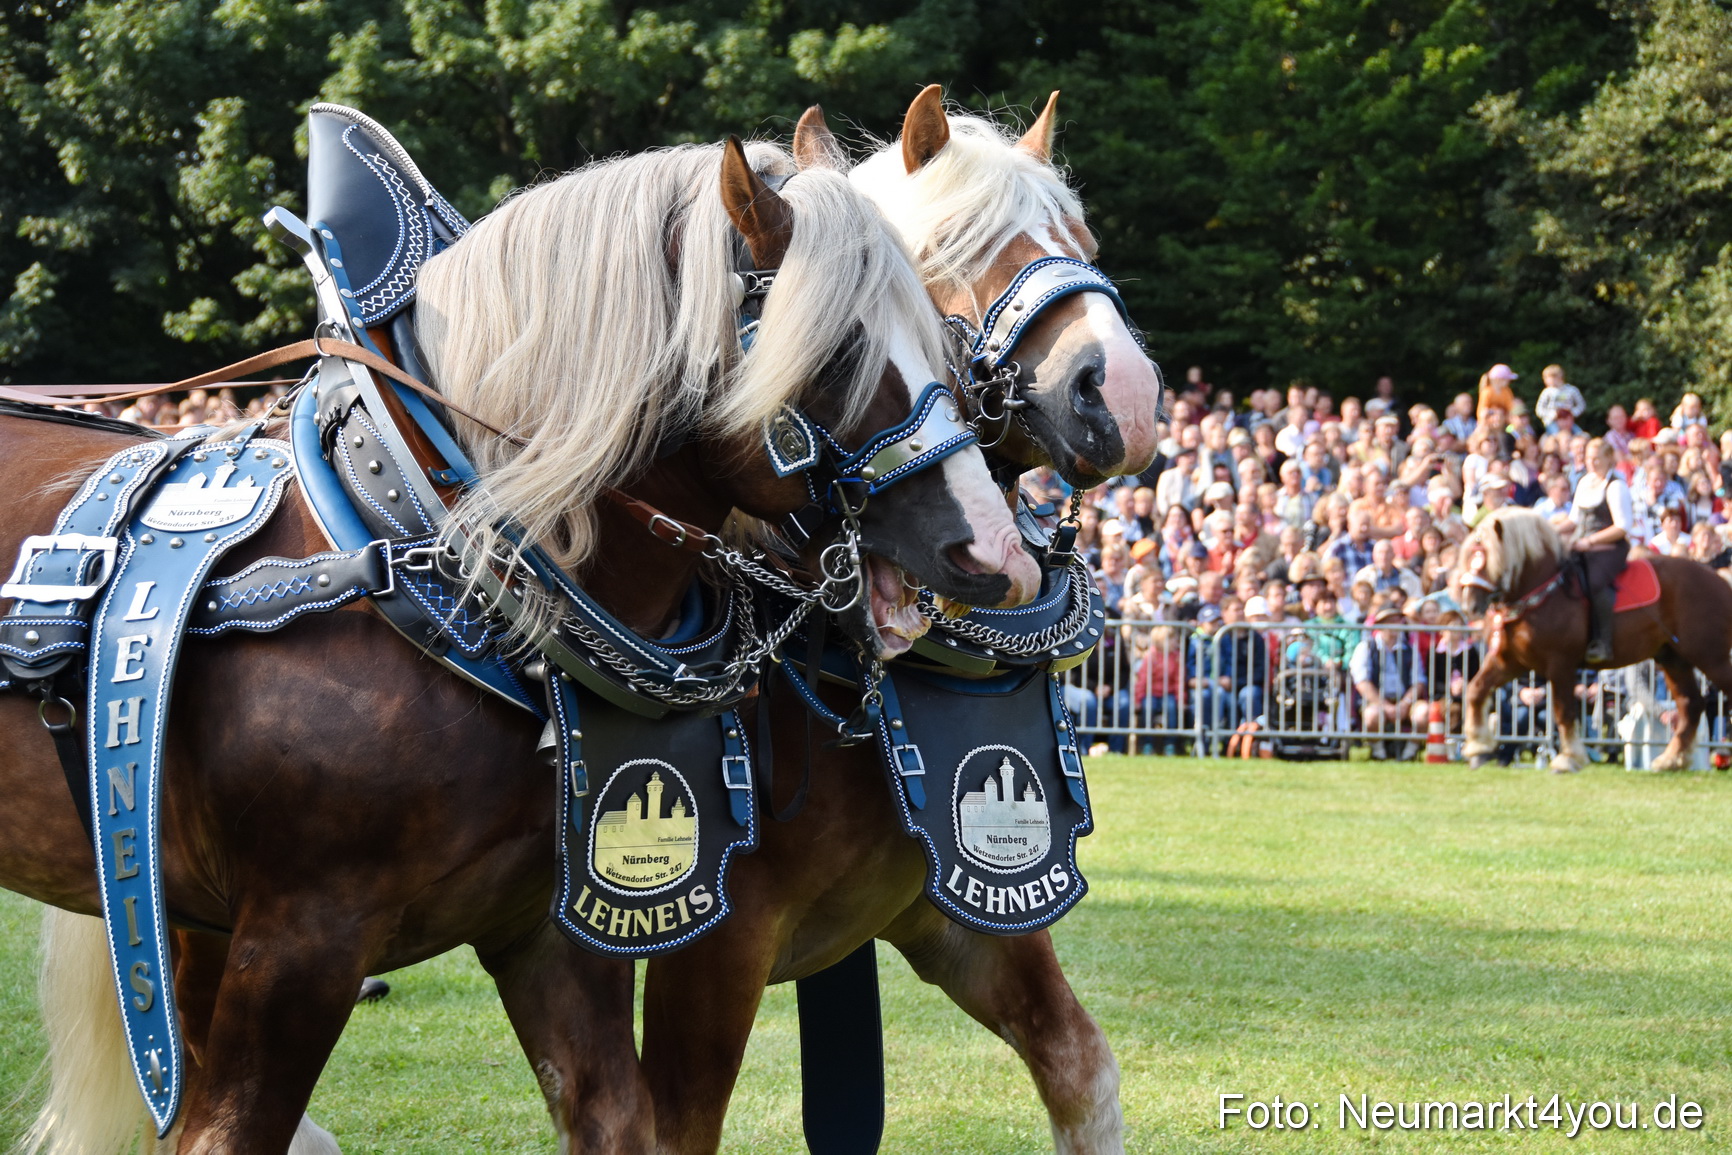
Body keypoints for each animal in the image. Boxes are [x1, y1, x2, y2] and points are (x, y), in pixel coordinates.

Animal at [14, 134, 1039, 1155]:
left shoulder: (553, 929)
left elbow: (616, 1115)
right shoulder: (297, 940)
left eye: (939, 336)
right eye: (839, 350)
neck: (427, 548)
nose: (996, 551)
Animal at [632, 93, 1154, 1155]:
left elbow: (1081, 1069)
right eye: (957, 247)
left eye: (1083, 241)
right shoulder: (707, 952)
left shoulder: (955, 908)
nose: (1123, 392)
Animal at [1457, 507, 1732, 773]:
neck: (1542, 593)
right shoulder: (1510, 661)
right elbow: (1476, 689)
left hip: (1710, 657)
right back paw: (1671, 760)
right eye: (1469, 557)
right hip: (1674, 658)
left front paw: (1569, 759)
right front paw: (1478, 747)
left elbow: (1563, 711)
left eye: (1488, 560)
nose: (1470, 605)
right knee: (1691, 704)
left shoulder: (1560, 664)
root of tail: (1720, 580)